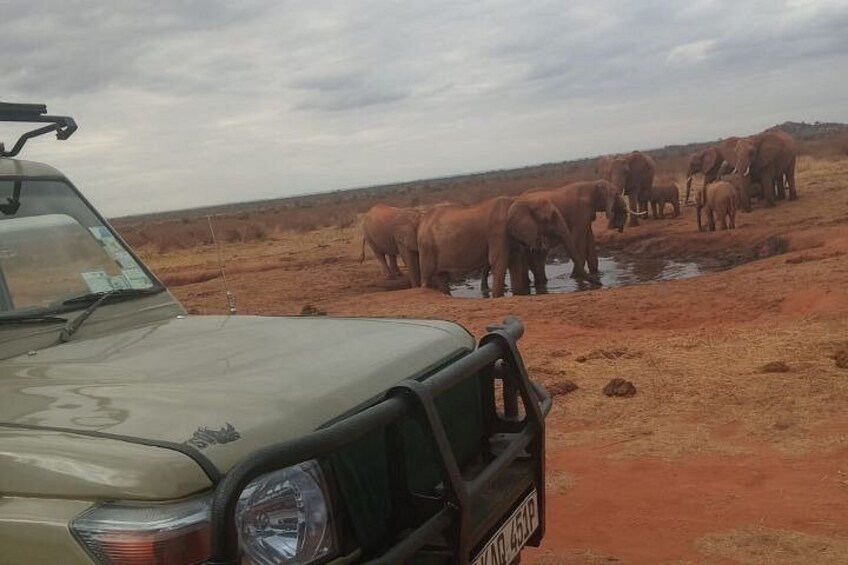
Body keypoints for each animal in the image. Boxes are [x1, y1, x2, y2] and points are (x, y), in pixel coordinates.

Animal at [417, 195, 591, 297]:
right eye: (551, 217)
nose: (595, 283)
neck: (518, 201)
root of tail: (422, 222)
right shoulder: (497, 230)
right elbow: (499, 262)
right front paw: (498, 297)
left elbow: (515, 263)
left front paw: (519, 294)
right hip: (426, 247)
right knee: (427, 275)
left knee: (441, 276)